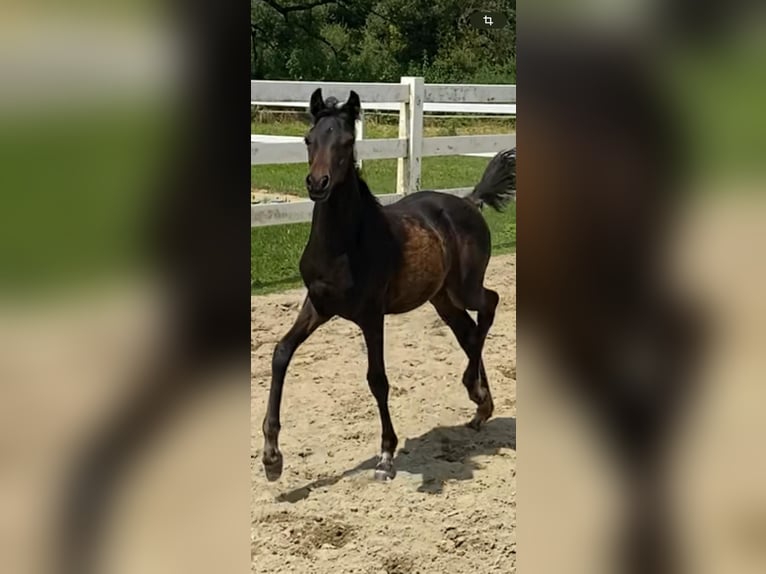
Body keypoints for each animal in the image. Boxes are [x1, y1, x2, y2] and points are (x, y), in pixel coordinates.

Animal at [260, 88, 520, 484]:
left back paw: (474, 389)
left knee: (489, 304)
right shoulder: (317, 305)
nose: (317, 184)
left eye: (346, 141)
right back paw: (480, 404)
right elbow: (281, 353)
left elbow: (377, 379)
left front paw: (385, 456)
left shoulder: (372, 315)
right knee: (468, 332)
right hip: (441, 298)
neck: (344, 245)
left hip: (465, 286)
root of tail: (469, 200)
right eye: (308, 139)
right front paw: (272, 458)